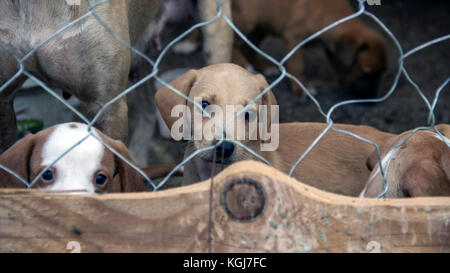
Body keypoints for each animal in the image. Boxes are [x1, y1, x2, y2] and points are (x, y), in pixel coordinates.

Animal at [230, 0, 388, 97]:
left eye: (381, 74)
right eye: (366, 72)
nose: (372, 98)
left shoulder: (330, 46)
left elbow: (337, 64)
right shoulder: (293, 36)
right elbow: (296, 65)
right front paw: (301, 89)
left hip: (261, 26)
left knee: (249, 47)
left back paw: (262, 68)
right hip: (247, 20)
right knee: (233, 40)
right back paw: (243, 64)